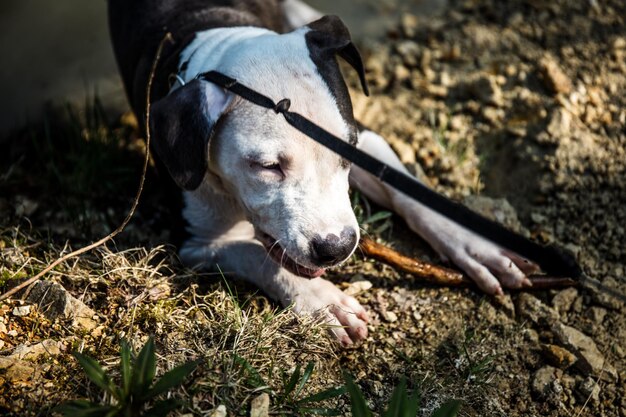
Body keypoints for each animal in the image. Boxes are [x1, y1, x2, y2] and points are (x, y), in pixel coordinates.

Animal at [106, 0, 532, 344]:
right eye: (267, 167)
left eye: (348, 149)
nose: (337, 247)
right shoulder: (196, 241)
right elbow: (258, 256)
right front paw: (325, 302)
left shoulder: (367, 139)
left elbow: (408, 189)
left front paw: (474, 243)